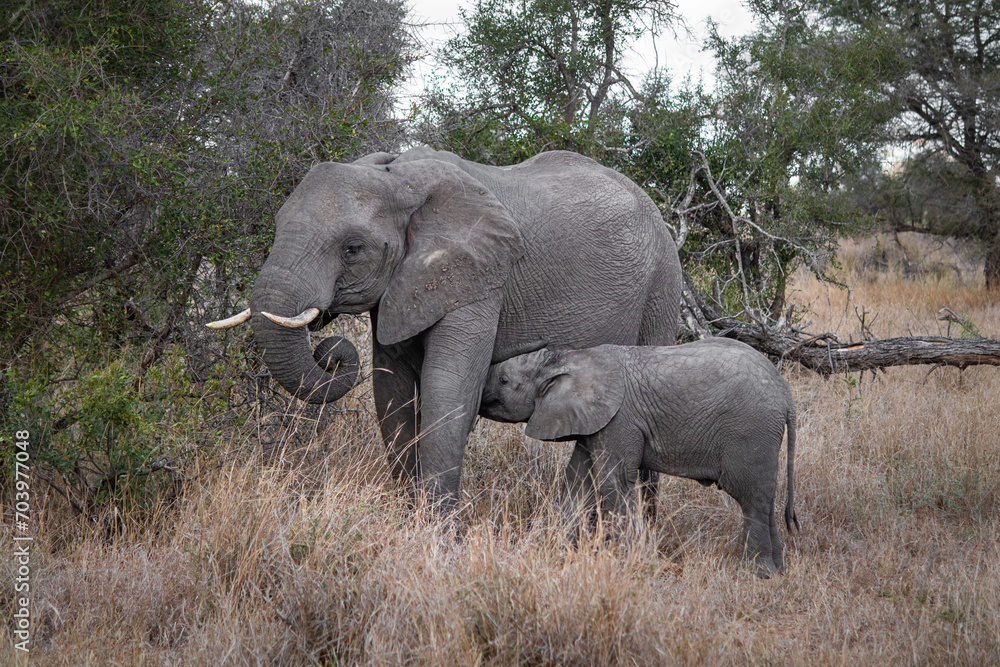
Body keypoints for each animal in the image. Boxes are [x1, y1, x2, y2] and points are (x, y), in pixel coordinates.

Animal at [208, 146, 683, 508]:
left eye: (352, 249)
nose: (330, 351)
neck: (400, 180)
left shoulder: (481, 277)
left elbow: (447, 388)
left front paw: (438, 533)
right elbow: (391, 390)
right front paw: (408, 516)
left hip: (662, 287)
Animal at [480, 337, 799, 577]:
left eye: (504, 380)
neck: (568, 357)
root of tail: (786, 395)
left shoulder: (619, 420)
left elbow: (613, 482)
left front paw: (625, 561)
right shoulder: (593, 421)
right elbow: (577, 483)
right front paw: (557, 551)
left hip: (751, 431)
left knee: (750, 498)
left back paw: (756, 572)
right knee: (765, 498)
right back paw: (778, 570)